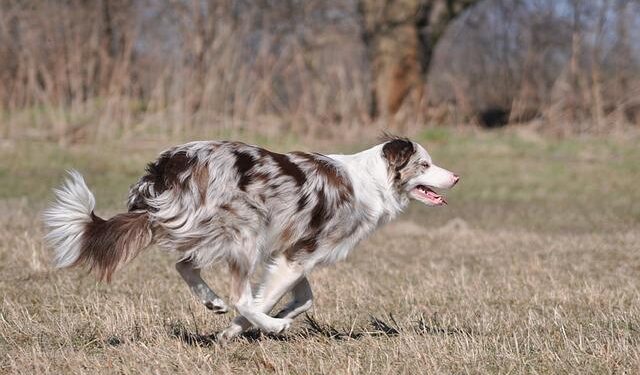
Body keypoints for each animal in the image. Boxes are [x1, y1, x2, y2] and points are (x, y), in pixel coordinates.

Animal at [43, 134, 460, 340]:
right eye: (425, 164)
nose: (456, 177)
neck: (373, 180)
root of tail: (167, 166)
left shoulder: (293, 252)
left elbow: (303, 300)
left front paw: (258, 322)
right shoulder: (299, 254)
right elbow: (264, 298)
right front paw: (246, 328)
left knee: (185, 265)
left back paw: (212, 301)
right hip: (246, 230)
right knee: (236, 293)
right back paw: (267, 324)